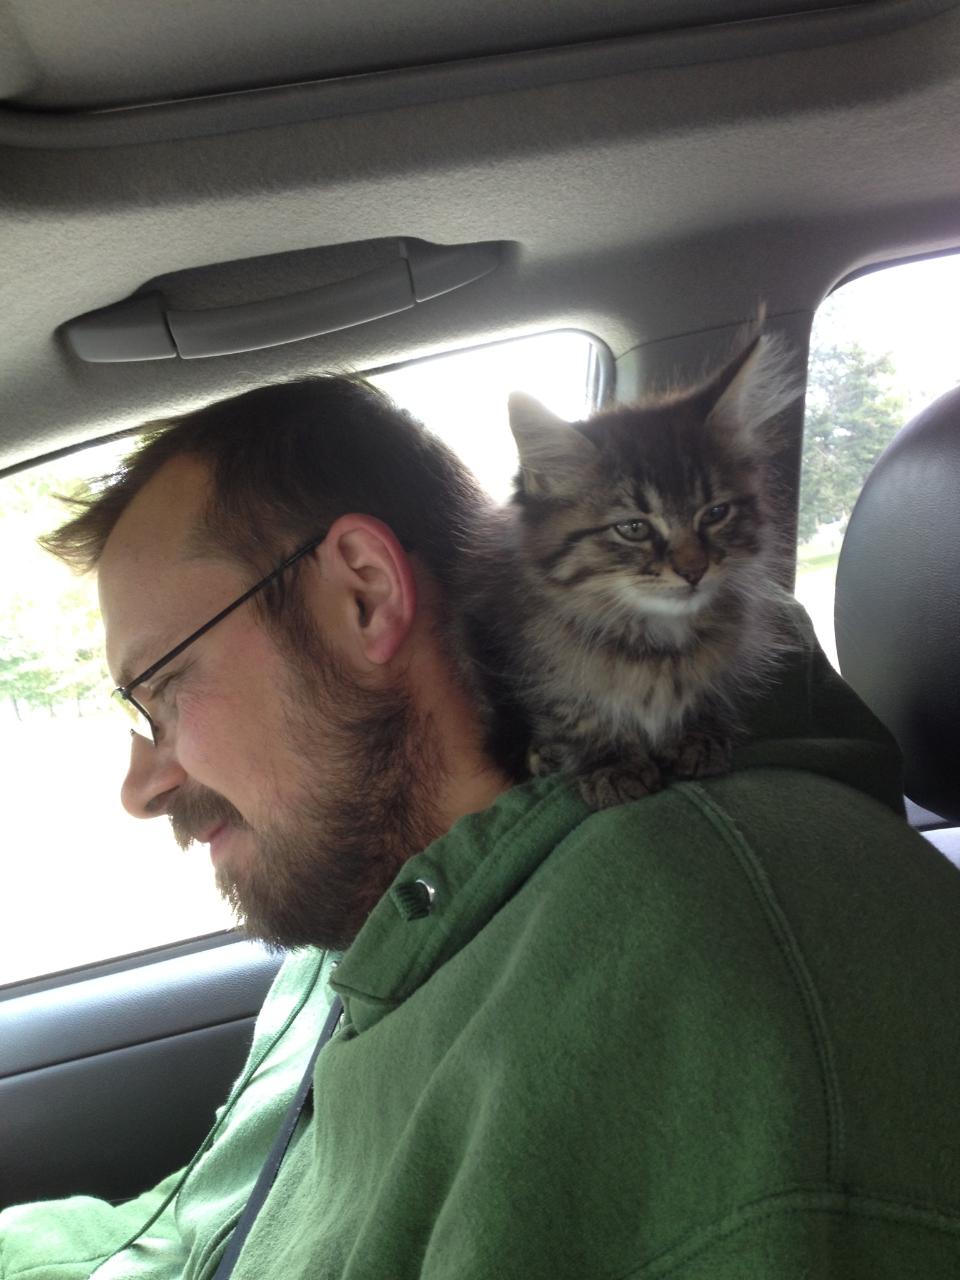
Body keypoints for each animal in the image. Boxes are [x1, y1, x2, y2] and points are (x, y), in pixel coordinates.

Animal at [461, 325, 800, 809]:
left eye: (715, 514)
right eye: (634, 528)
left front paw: (695, 736)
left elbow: (702, 693)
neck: (655, 640)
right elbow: (576, 713)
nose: (694, 570)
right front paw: (611, 764)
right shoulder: (537, 661)